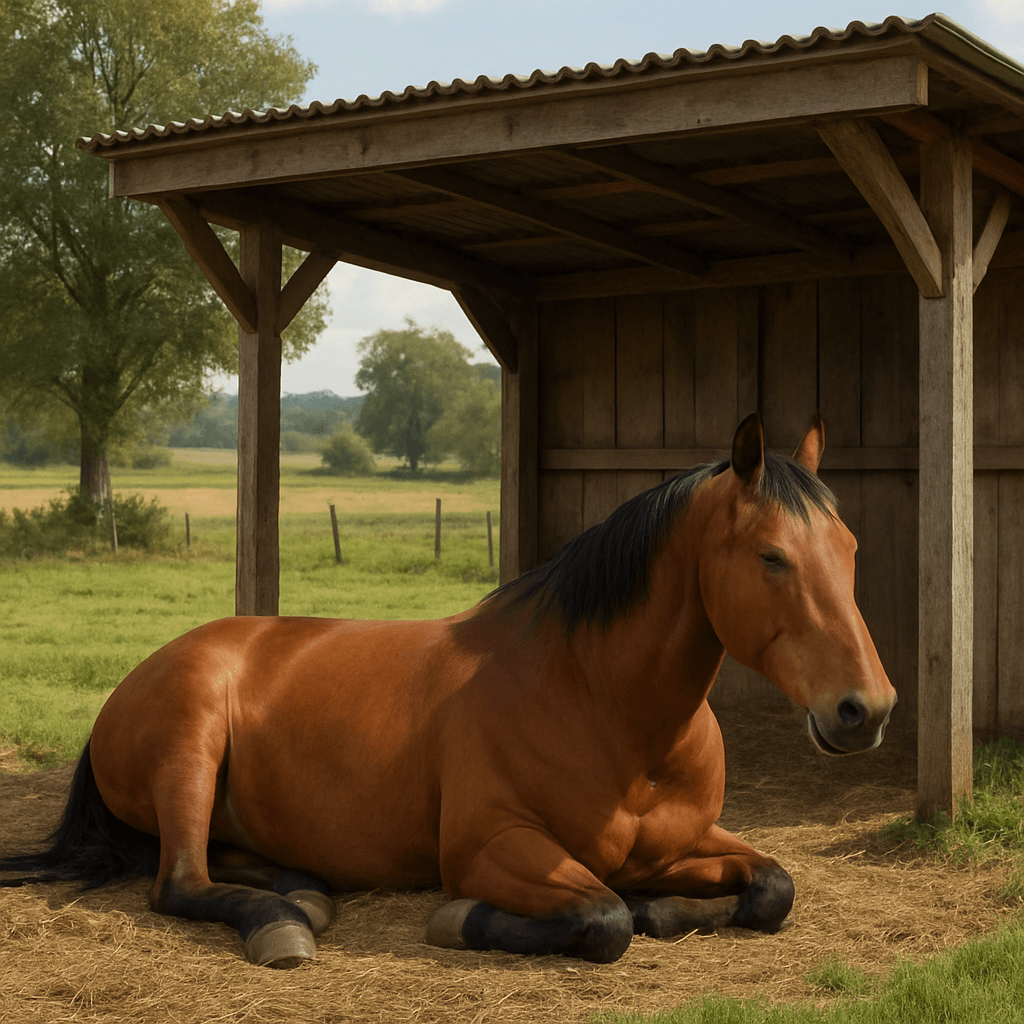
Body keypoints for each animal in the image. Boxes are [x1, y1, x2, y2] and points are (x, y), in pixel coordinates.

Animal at [1, 413, 896, 967]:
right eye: (772, 556)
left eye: (851, 545)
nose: (867, 709)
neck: (604, 710)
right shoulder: (492, 847)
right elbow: (604, 917)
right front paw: (463, 921)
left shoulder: (690, 841)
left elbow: (773, 888)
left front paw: (666, 907)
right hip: (190, 750)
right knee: (180, 883)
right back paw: (282, 926)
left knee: (228, 864)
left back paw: (304, 894)